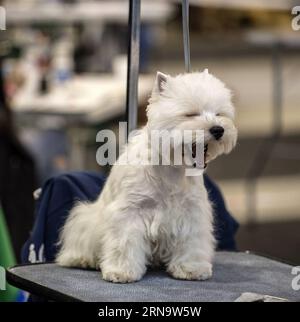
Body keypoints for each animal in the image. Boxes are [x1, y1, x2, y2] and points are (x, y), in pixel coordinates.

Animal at [56, 70, 238, 282]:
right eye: (191, 114)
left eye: (219, 114)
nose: (218, 129)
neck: (171, 168)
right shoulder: (130, 212)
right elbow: (124, 243)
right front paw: (121, 272)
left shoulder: (191, 211)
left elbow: (191, 242)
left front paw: (191, 268)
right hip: (87, 222)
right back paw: (83, 260)